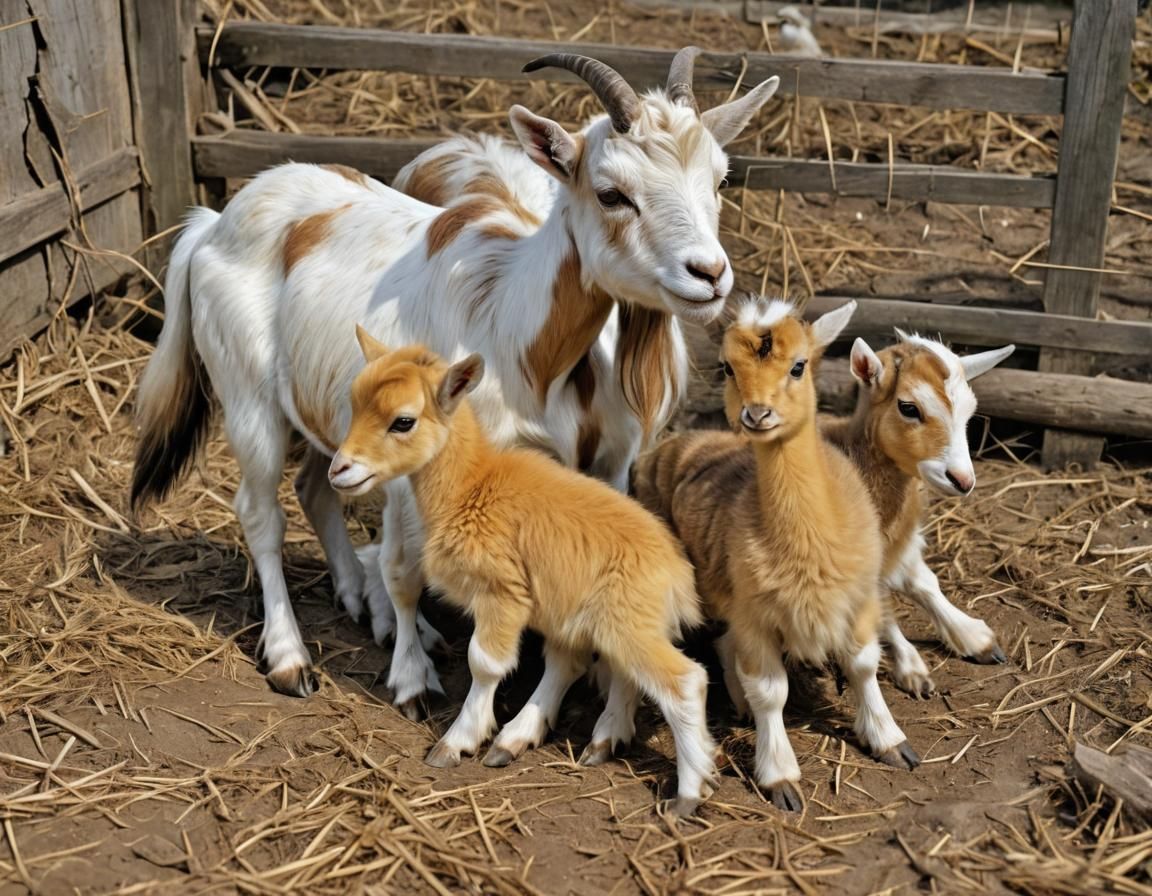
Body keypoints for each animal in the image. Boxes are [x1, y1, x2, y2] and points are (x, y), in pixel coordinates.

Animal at [130, 49, 779, 703]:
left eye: (719, 180)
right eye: (612, 193)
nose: (709, 275)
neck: (520, 329)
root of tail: (215, 222)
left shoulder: (608, 462)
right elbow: (405, 569)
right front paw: (414, 681)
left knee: (316, 486)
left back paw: (362, 603)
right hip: (248, 398)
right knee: (261, 513)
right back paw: (291, 658)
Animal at [329, 330, 716, 816]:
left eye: (403, 422)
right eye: (354, 403)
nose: (339, 470)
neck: (470, 487)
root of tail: (676, 574)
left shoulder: (502, 593)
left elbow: (484, 663)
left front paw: (454, 743)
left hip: (626, 620)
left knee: (683, 681)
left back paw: (688, 792)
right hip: (590, 617)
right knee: (594, 666)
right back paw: (567, 741)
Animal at [633, 298, 920, 811]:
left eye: (799, 366)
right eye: (727, 367)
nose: (757, 413)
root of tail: (672, 443)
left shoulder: (859, 599)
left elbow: (864, 664)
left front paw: (890, 740)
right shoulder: (755, 614)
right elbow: (771, 692)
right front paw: (780, 776)